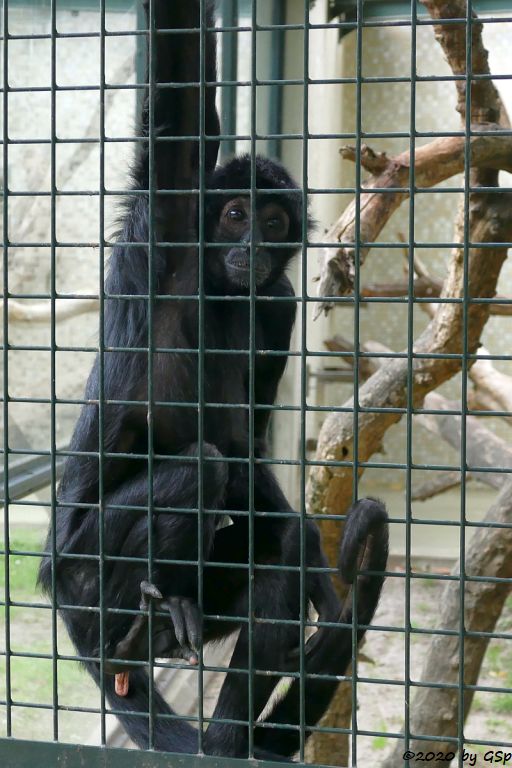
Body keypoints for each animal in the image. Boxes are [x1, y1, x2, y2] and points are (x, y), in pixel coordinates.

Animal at [39, 0, 388, 756]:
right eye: (234, 215)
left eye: (273, 220)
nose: (252, 245)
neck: (223, 291)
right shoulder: (168, 222)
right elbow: (183, 100)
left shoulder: (278, 303)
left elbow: (245, 446)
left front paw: (320, 582)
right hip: (83, 571)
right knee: (198, 466)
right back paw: (144, 622)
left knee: (273, 548)